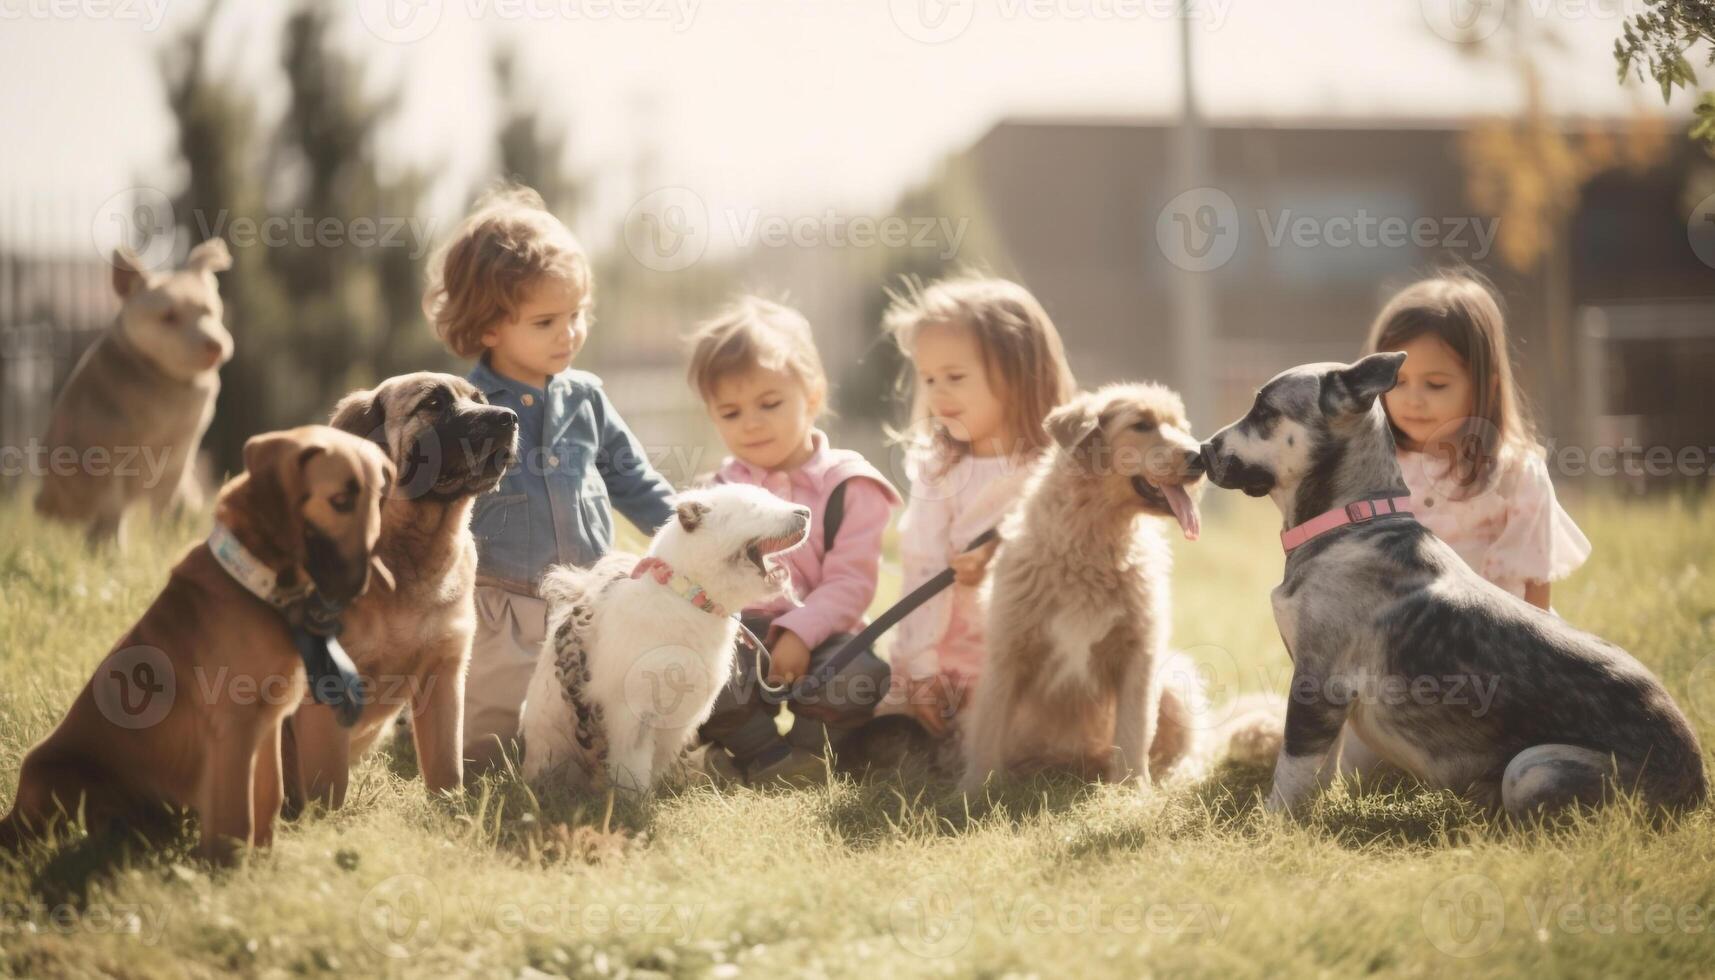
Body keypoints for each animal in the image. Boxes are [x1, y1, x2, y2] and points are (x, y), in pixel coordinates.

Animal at [1, 425, 391, 861]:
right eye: (340, 501)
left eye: (379, 501)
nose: (363, 587)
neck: (257, 584)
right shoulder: (234, 728)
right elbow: (236, 815)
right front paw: (228, 868)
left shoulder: (267, 726)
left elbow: (267, 799)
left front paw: (262, 860)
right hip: (59, 774)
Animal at [36, 240, 234, 549]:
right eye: (169, 316)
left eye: (209, 311)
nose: (214, 346)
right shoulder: (107, 460)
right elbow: (111, 512)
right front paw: (114, 552)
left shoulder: (178, 459)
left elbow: (165, 508)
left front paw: (165, 543)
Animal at [281, 374, 517, 813]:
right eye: (434, 403)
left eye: (479, 399)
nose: (509, 418)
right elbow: (329, 780)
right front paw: (325, 821)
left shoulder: (444, 673)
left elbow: (446, 768)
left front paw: (451, 813)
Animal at [521, 483, 809, 796]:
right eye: (752, 507)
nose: (806, 512)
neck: (687, 600)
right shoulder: (634, 715)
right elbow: (632, 766)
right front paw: (634, 800)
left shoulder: (679, 720)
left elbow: (659, 760)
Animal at [1200, 353, 1708, 820]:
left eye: (1264, 412)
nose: (1202, 450)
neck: (1350, 523)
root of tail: (1698, 783)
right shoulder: (1325, 701)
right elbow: (1316, 776)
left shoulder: (1317, 684)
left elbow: (1291, 771)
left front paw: (1270, 829)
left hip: (1533, 770)